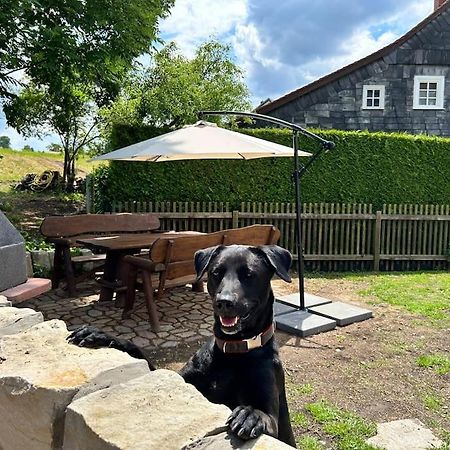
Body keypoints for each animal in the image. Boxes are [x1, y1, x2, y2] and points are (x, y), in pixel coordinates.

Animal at [67, 246, 298, 446]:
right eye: (216, 272)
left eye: (249, 274)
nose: (224, 302)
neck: (232, 351)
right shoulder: (180, 381)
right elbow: (141, 356)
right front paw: (102, 335)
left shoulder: (273, 419)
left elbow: (265, 416)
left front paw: (250, 414)